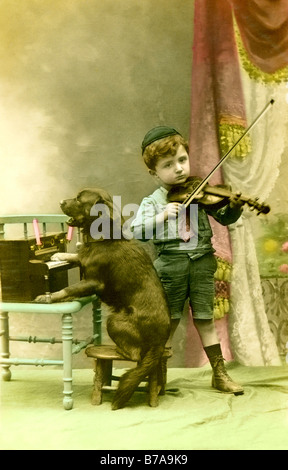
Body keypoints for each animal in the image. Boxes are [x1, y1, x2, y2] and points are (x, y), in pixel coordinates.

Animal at [36, 189, 171, 410]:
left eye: (79, 200)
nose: (61, 201)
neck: (103, 239)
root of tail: (161, 341)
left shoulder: (93, 282)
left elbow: (67, 289)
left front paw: (48, 297)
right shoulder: (84, 261)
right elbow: (77, 256)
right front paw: (59, 255)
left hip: (114, 321)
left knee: (135, 355)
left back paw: (114, 350)